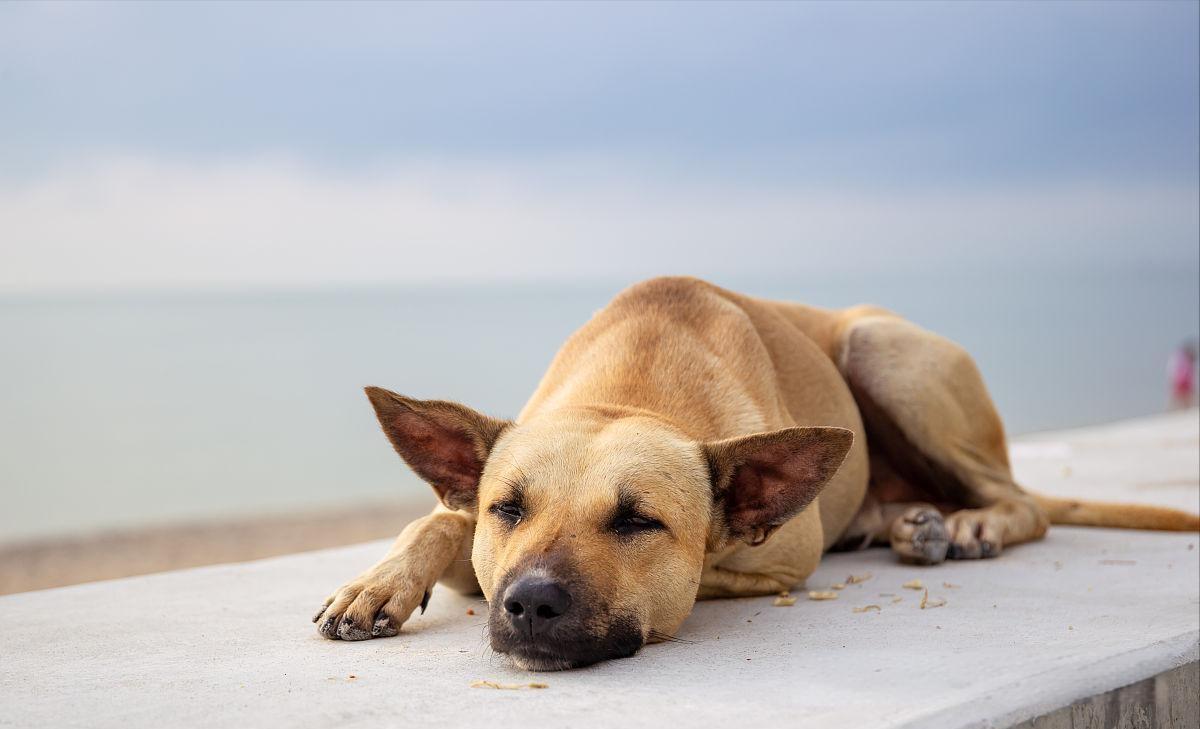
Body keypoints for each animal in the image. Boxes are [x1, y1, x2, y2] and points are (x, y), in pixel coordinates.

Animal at [312, 275, 1200, 671]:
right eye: (509, 509)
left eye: (637, 521)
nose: (527, 601)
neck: (631, 389)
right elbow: (440, 517)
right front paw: (379, 581)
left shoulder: (778, 558)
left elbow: (713, 562)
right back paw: (907, 519)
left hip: (883, 349)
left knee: (1021, 501)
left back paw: (964, 522)